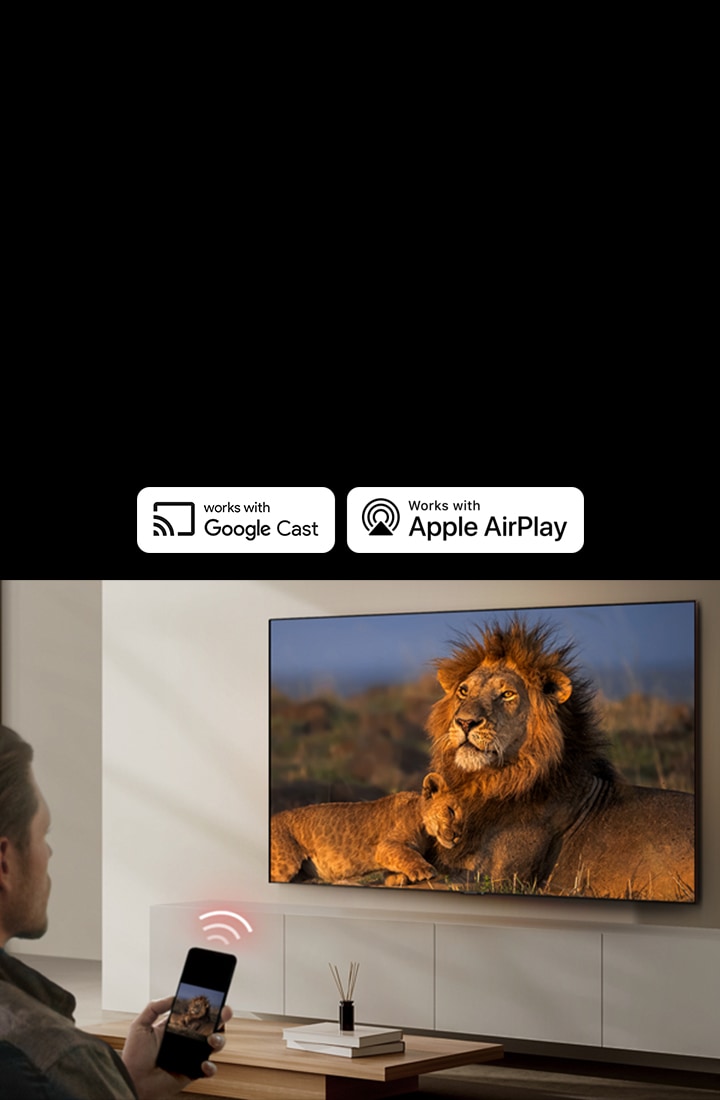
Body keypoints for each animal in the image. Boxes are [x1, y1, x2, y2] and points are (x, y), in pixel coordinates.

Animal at [271, 774, 468, 884]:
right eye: (450, 811)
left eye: (464, 820)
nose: (458, 836)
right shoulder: (385, 846)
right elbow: (408, 854)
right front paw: (424, 871)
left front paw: (397, 878)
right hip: (283, 866)